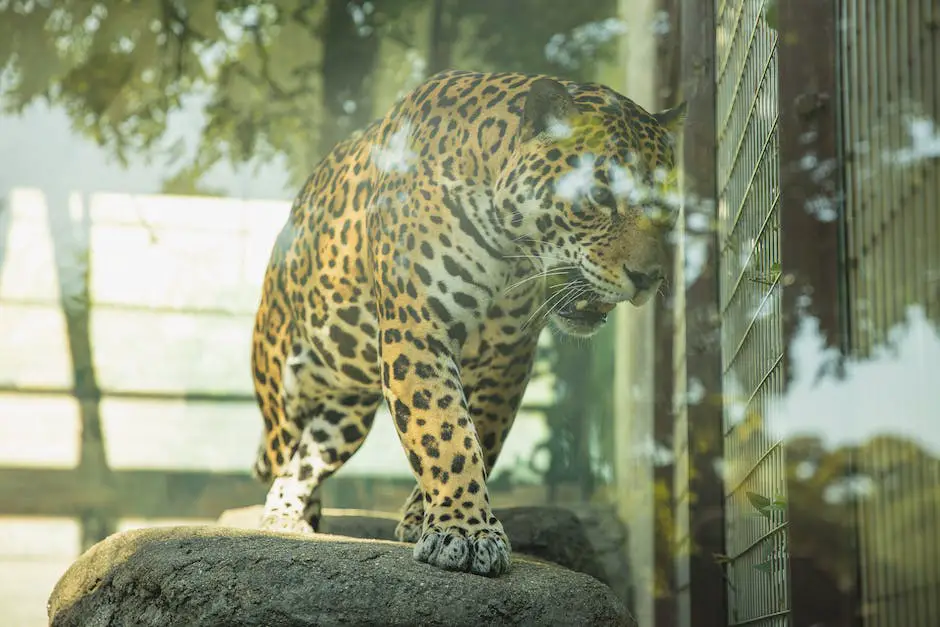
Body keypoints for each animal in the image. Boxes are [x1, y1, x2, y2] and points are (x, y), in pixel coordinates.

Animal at [249, 69, 686, 577]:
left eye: (667, 208)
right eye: (599, 196)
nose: (648, 278)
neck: (509, 249)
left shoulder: (508, 355)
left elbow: (480, 434)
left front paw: (427, 517)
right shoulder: (417, 329)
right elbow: (443, 429)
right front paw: (464, 530)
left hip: (346, 416)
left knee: (311, 455)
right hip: (282, 383)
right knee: (285, 452)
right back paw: (287, 515)